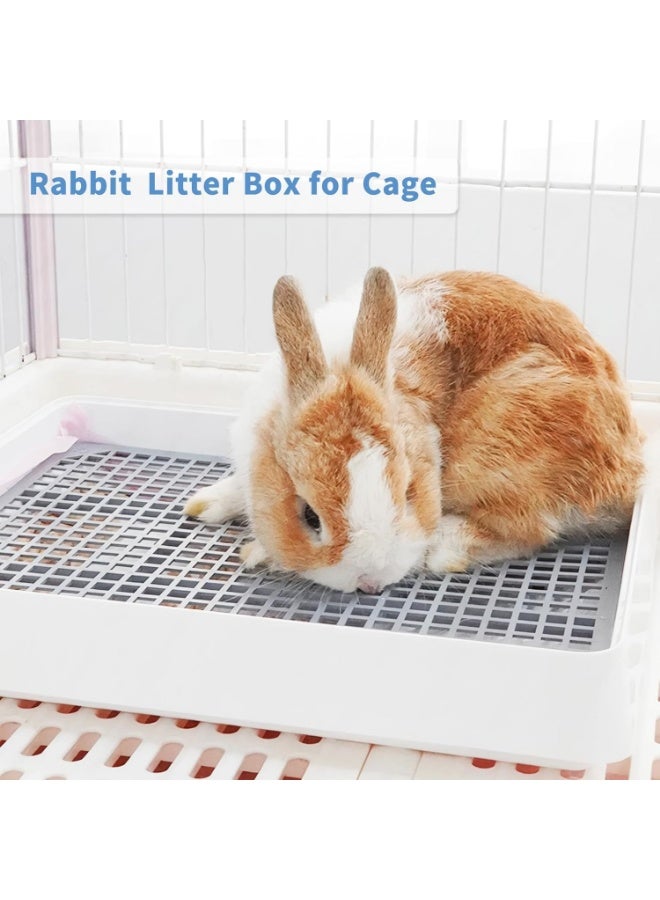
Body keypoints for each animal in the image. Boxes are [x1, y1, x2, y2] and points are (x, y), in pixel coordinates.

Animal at [184, 267, 644, 594]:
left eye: (408, 493)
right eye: (309, 516)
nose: (370, 582)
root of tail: (628, 476)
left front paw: (258, 553)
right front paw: (206, 505)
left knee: (530, 530)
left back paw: (442, 546)